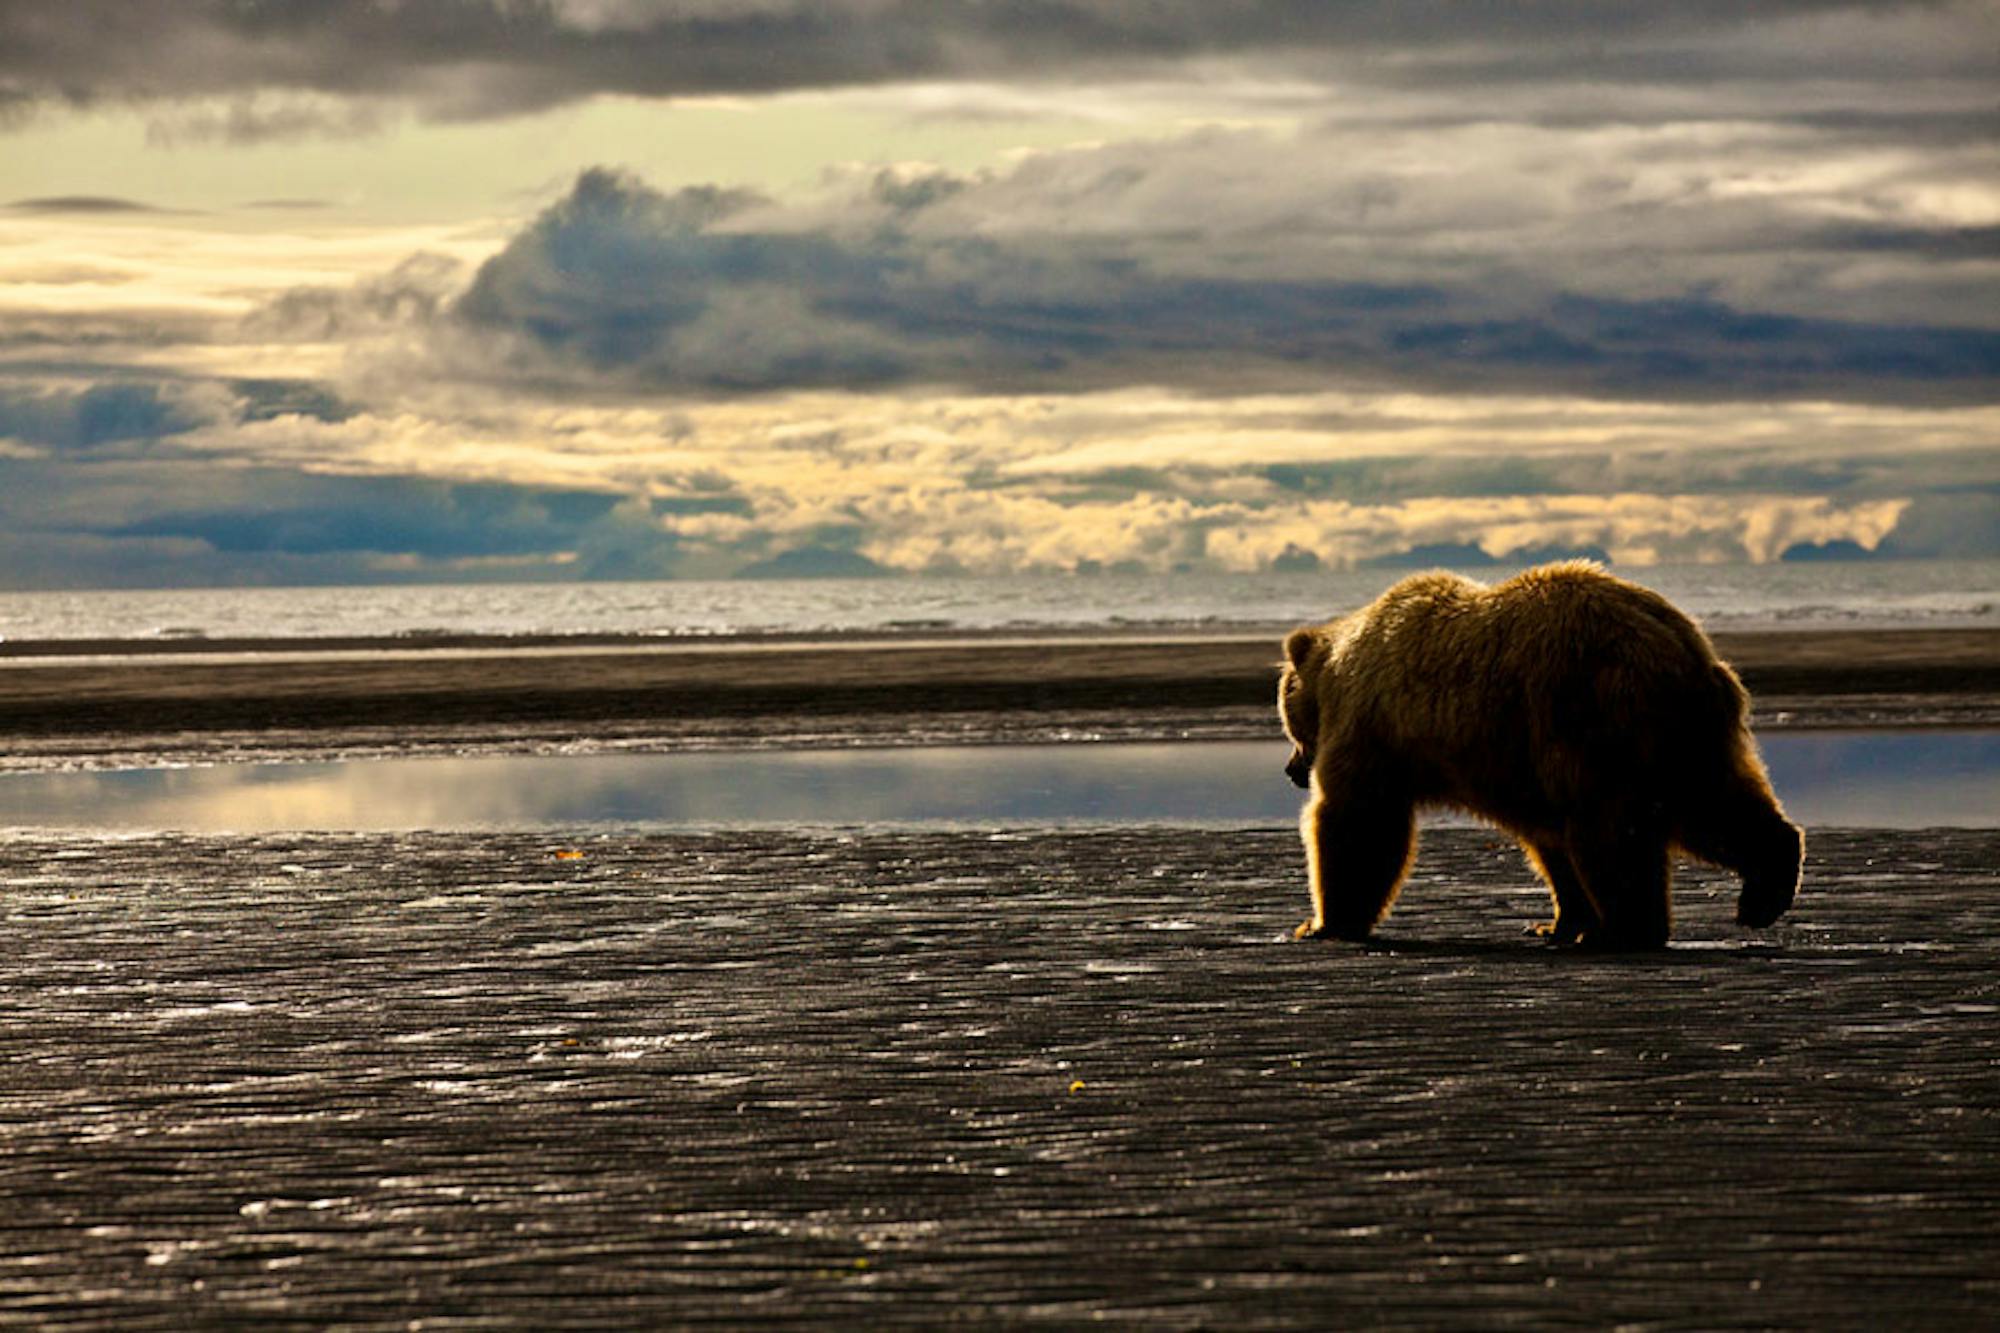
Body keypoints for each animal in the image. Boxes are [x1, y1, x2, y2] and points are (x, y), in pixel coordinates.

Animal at [1280, 560, 1816, 944]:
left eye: (1287, 719)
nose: (1291, 770)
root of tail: (1689, 649)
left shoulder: (1376, 728)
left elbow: (1358, 818)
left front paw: (1323, 923)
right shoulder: (1520, 765)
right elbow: (1548, 842)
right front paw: (1559, 921)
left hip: (1595, 716)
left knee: (1613, 832)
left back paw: (1626, 930)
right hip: (1677, 736)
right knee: (1713, 803)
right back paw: (1764, 891)